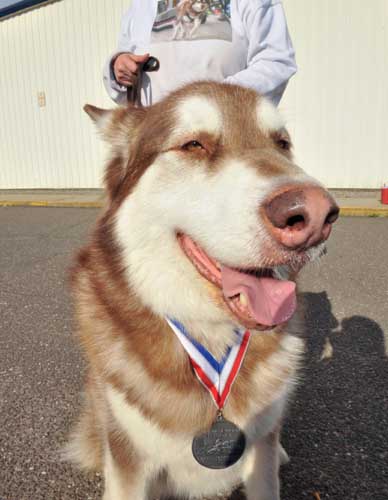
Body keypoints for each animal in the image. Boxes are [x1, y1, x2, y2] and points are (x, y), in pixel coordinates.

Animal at [68, 80, 338, 498]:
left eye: (282, 143)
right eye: (194, 144)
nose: (313, 216)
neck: (209, 333)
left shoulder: (260, 455)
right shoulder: (128, 458)